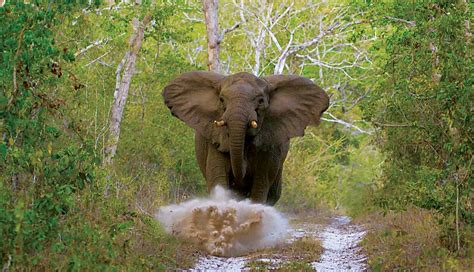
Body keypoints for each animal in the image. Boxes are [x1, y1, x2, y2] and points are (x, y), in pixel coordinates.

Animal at [163, 71, 330, 205]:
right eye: (222, 100)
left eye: (260, 101)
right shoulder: (215, 143)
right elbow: (219, 182)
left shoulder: (269, 150)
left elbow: (260, 188)